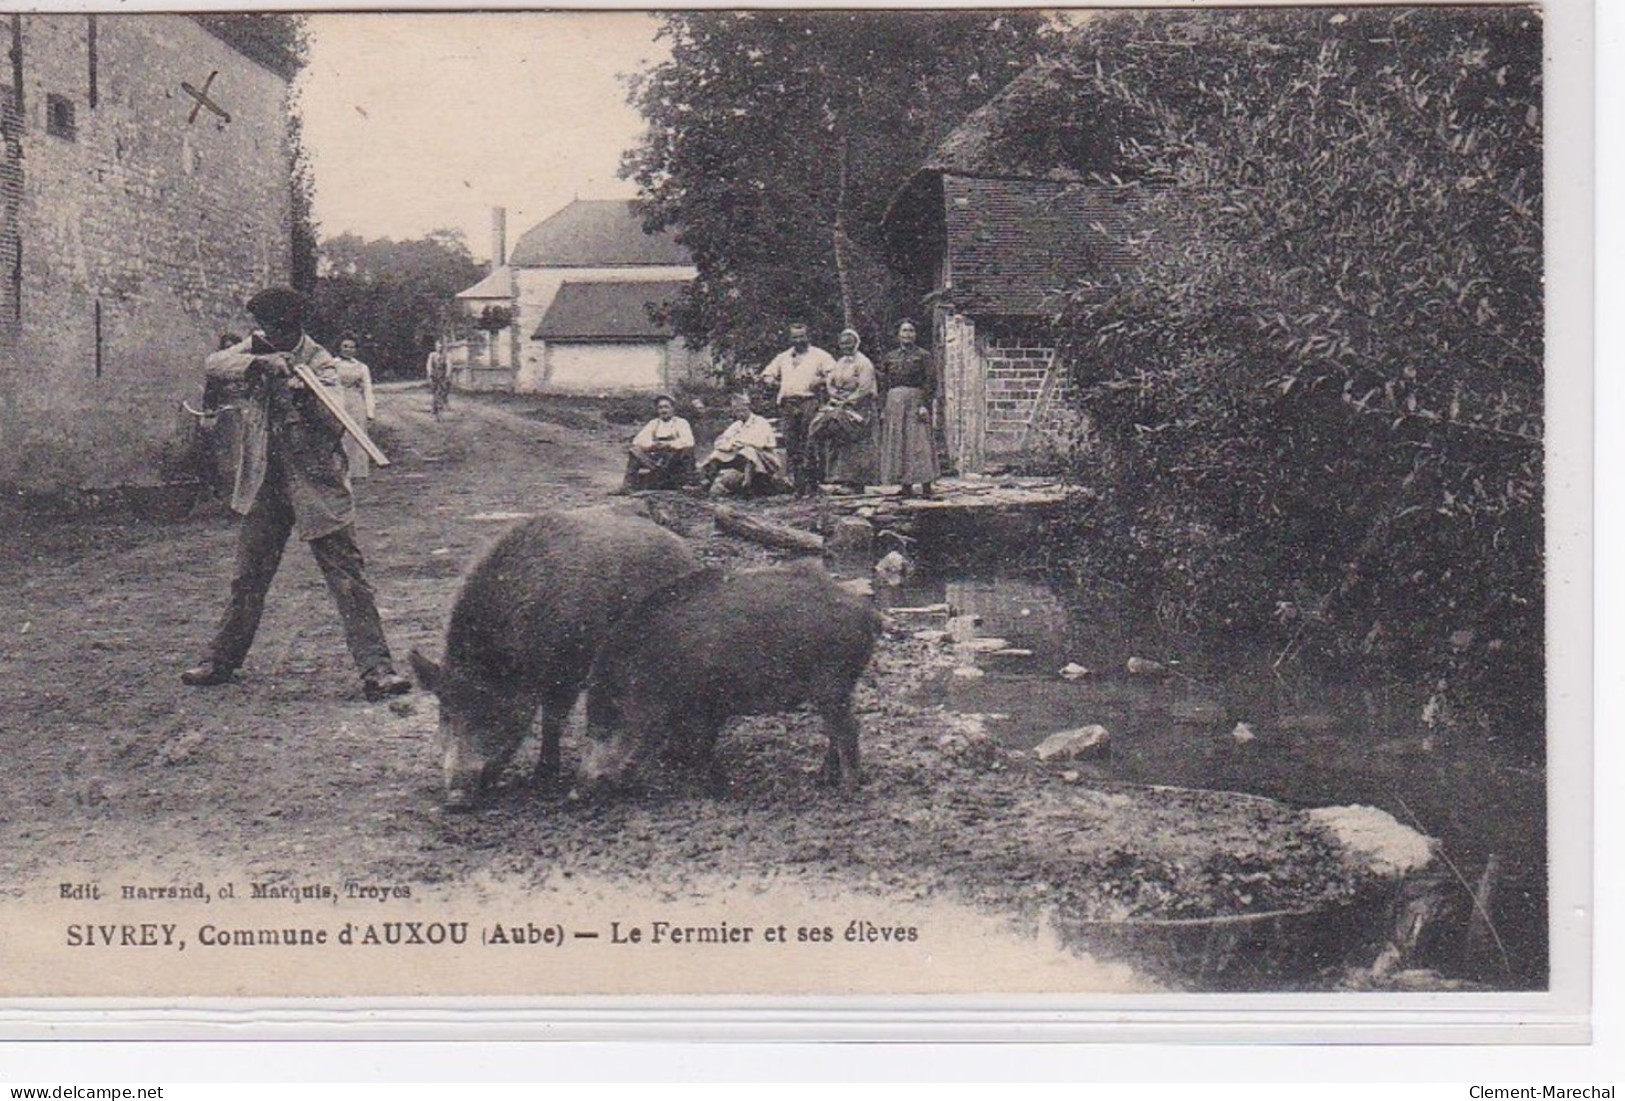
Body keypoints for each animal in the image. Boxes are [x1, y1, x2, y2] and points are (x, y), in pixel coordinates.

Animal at [406, 509, 698, 811]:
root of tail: (684, 550)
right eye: (446, 714)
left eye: (492, 715)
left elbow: (552, 719)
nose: (456, 798)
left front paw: (541, 777)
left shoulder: (567, 671)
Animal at [581, 561, 884, 792]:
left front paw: (716, 785)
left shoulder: (705, 703)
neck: (653, 666)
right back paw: (822, 778)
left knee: (848, 729)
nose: (582, 786)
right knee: (835, 730)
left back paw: (847, 787)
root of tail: (868, 615)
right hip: (835, 689)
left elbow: (703, 745)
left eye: (607, 721)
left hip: (832, 683)